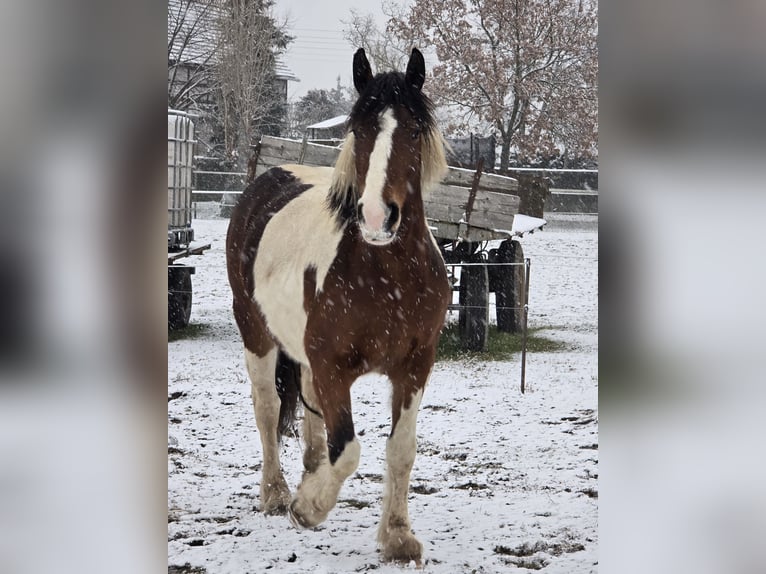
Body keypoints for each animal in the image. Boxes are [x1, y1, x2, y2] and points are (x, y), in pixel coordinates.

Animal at [225, 48, 452, 564]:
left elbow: (400, 449)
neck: (385, 275)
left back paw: (309, 474)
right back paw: (277, 493)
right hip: (256, 333)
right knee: (268, 407)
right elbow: (348, 450)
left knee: (309, 417)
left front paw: (397, 537)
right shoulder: (333, 367)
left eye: (414, 130)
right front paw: (308, 509)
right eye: (359, 130)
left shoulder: (416, 365)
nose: (377, 217)